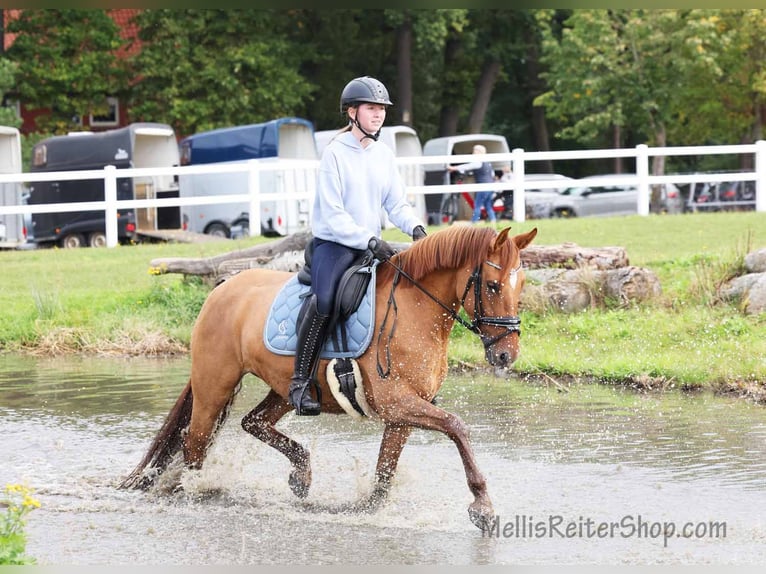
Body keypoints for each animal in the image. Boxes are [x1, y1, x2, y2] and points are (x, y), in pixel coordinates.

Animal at [120, 224, 537, 530]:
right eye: (493, 286)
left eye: (521, 286)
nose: (506, 355)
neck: (416, 310)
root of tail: (222, 287)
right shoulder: (397, 404)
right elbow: (457, 426)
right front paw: (482, 506)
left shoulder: (402, 415)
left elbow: (385, 473)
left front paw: (366, 509)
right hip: (214, 385)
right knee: (195, 442)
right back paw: (198, 492)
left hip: (284, 390)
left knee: (252, 422)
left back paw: (301, 475)